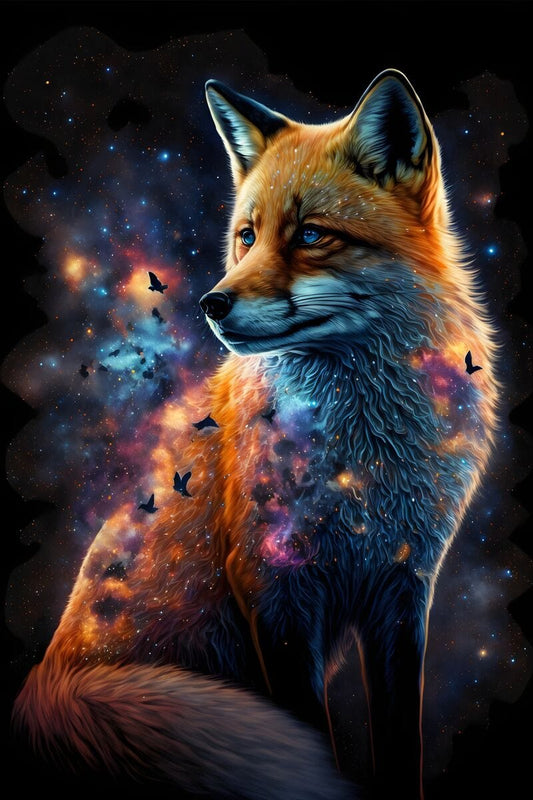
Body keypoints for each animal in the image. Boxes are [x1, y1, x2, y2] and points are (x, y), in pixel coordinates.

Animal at [11, 69, 499, 799]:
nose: (211, 304)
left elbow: (399, 738)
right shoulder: (273, 585)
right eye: (246, 235)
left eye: (311, 235)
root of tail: (43, 692)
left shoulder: (402, 587)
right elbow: (311, 733)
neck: (362, 463)